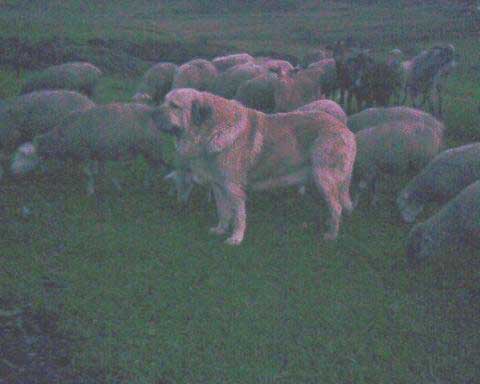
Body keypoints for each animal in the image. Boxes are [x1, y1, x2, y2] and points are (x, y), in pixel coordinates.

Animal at [10, 103, 167, 195]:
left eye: (26, 156)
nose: (13, 172)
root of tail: (152, 110)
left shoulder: (84, 152)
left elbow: (88, 174)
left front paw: (90, 192)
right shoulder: (98, 153)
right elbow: (103, 172)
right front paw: (115, 186)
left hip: (152, 147)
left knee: (154, 167)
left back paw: (147, 184)